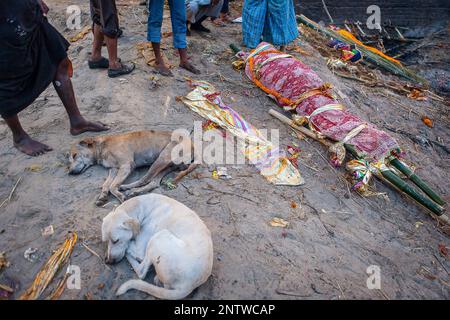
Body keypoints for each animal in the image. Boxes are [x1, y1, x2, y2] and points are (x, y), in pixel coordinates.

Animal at [68, 131, 197, 206]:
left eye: (74, 155)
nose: (70, 172)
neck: (102, 147)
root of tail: (193, 145)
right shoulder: (113, 169)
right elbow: (106, 185)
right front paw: (102, 196)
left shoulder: (126, 166)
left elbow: (112, 186)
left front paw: (120, 196)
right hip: (166, 166)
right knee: (153, 183)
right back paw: (134, 190)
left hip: (162, 158)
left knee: (145, 179)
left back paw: (128, 189)